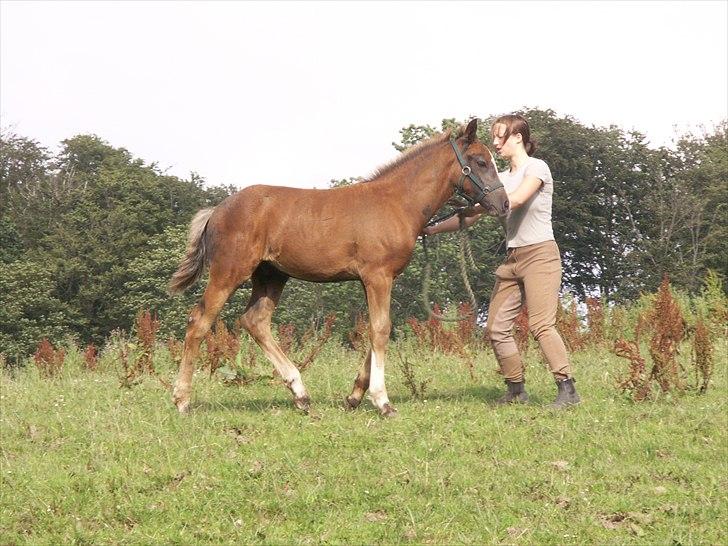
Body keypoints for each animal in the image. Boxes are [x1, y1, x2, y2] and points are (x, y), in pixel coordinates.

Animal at [168, 119, 510, 414]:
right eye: (481, 161)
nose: (504, 204)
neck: (396, 202)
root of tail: (216, 210)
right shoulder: (377, 276)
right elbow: (381, 329)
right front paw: (382, 401)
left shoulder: (383, 279)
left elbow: (378, 328)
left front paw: (355, 396)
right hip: (229, 271)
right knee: (199, 321)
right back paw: (182, 399)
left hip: (271, 276)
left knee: (255, 321)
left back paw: (301, 394)